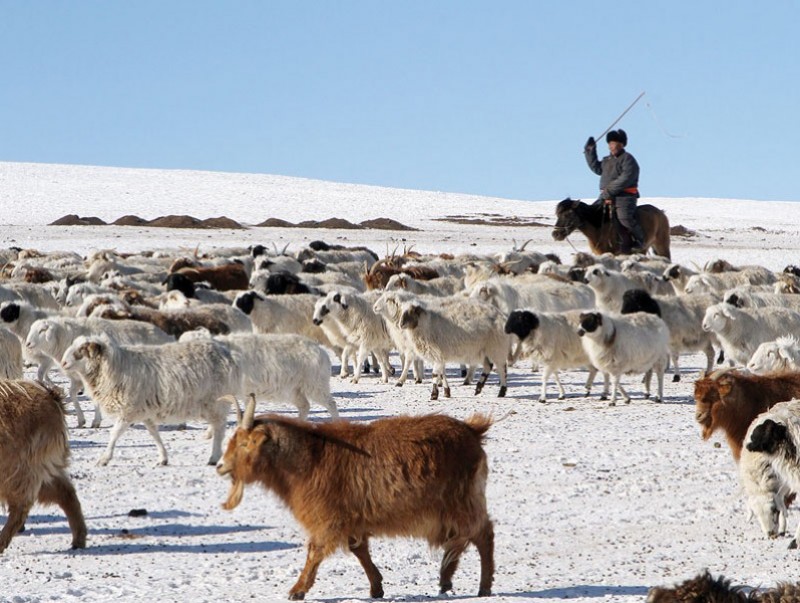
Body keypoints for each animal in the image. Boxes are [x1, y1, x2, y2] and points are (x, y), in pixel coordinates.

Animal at [0, 380, 86, 556]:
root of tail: (50, 395)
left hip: (19, 468)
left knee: (21, 507)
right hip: (40, 467)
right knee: (65, 492)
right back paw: (79, 539)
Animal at [59, 336, 241, 468]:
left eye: (82, 350)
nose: (63, 362)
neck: (114, 367)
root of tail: (225, 353)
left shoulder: (128, 410)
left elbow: (114, 434)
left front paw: (104, 458)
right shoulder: (144, 411)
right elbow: (154, 433)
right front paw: (163, 458)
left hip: (215, 402)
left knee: (219, 428)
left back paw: (214, 457)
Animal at [219, 396, 494, 600]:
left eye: (244, 444)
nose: (220, 465)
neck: (310, 458)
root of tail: (472, 431)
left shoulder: (328, 518)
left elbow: (315, 551)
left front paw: (297, 590)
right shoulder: (352, 517)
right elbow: (358, 549)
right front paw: (376, 587)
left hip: (462, 501)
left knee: (482, 533)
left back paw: (483, 586)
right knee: (461, 539)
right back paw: (446, 578)